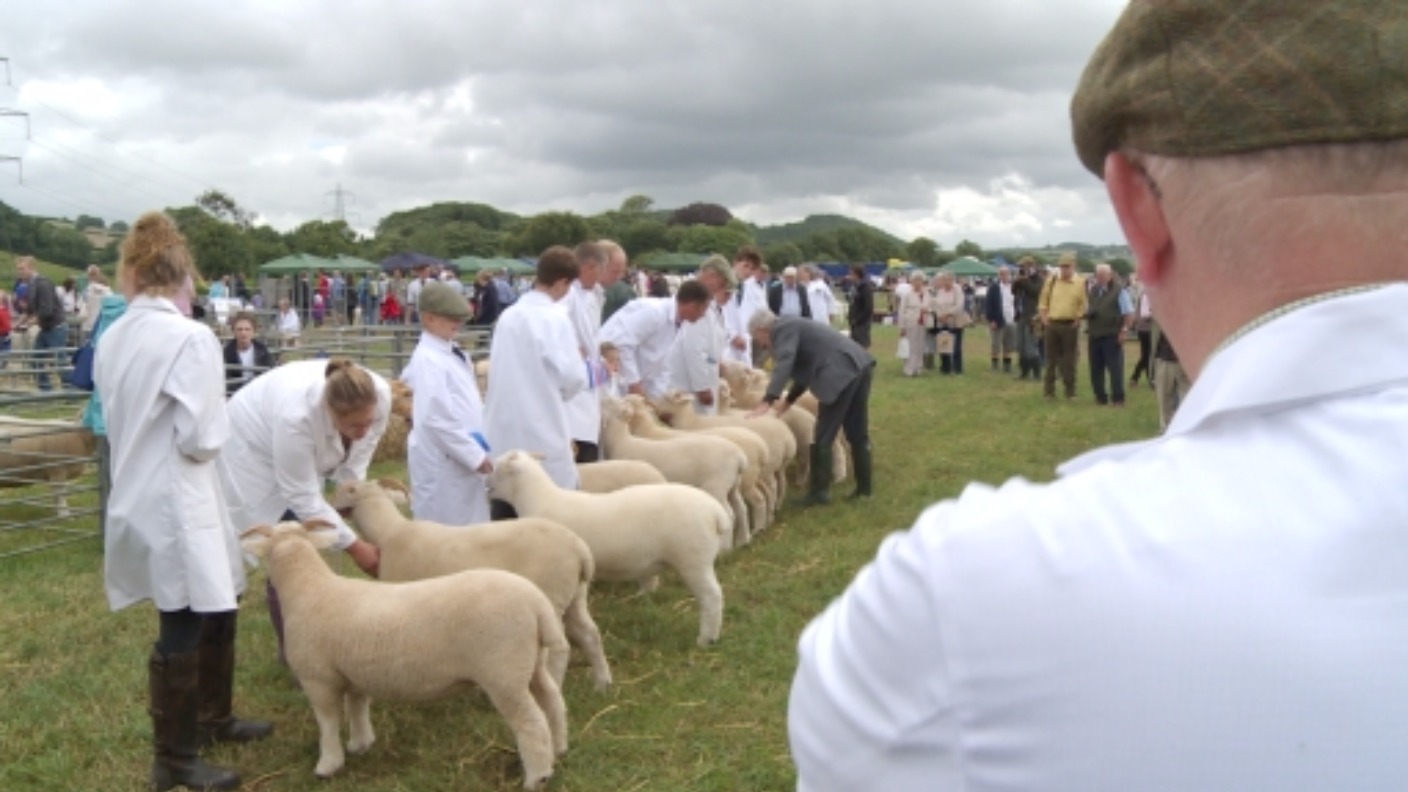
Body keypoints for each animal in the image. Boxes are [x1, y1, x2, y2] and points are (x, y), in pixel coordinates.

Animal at [242, 518, 566, 789]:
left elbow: (329, 723)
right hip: (530, 664)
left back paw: (537, 777)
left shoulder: (317, 677)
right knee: (552, 700)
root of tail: (537, 603)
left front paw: (328, 765)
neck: (308, 588)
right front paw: (360, 744)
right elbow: (357, 708)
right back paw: (559, 749)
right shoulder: (354, 674)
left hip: (503, 673)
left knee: (531, 723)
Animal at [332, 473, 619, 690]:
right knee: (590, 634)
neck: (390, 532)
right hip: (576, 594)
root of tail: (580, 549)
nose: (332, 509)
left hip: (552, 594)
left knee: (560, 648)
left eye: (345, 491)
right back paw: (602, 683)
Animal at [487, 448, 732, 645]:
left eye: (497, 468)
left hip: (693, 559)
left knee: (712, 596)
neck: (540, 498)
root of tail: (715, 511)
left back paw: (706, 639)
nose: (486, 485)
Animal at [594, 397, 749, 538]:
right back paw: (743, 540)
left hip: (717, 485)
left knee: (728, 514)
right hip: (733, 485)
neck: (622, 441)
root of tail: (739, 457)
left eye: (618, 402)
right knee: (741, 508)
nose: (601, 398)